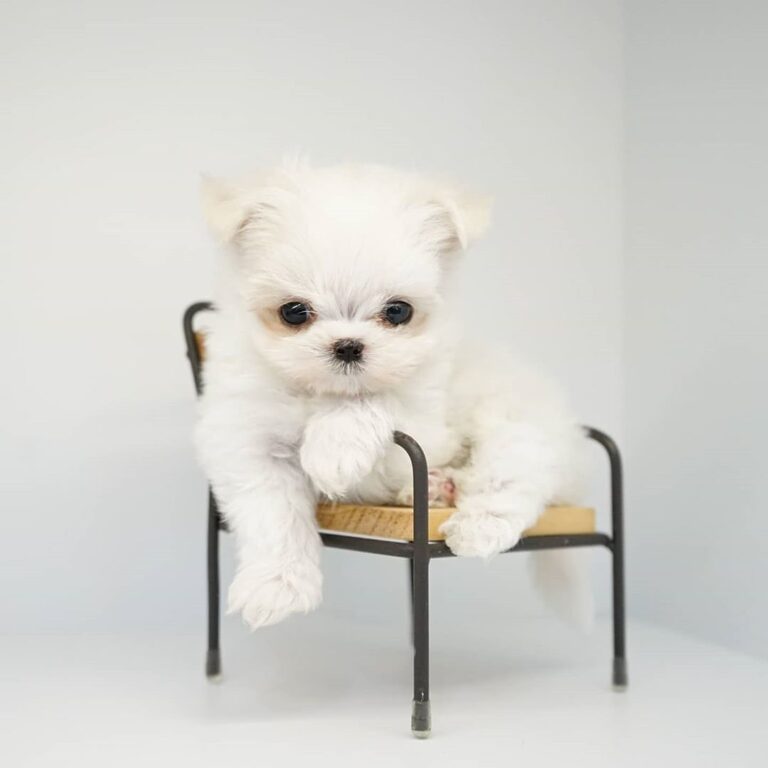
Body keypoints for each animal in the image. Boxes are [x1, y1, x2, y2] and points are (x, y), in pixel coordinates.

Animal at [196, 161, 587, 630]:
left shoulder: (425, 427)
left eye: (398, 311)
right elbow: (272, 514)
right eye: (294, 312)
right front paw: (276, 586)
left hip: (516, 420)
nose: (348, 346)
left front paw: (334, 450)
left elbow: (374, 401)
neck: (320, 394)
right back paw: (437, 488)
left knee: (516, 472)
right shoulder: (247, 440)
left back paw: (476, 524)